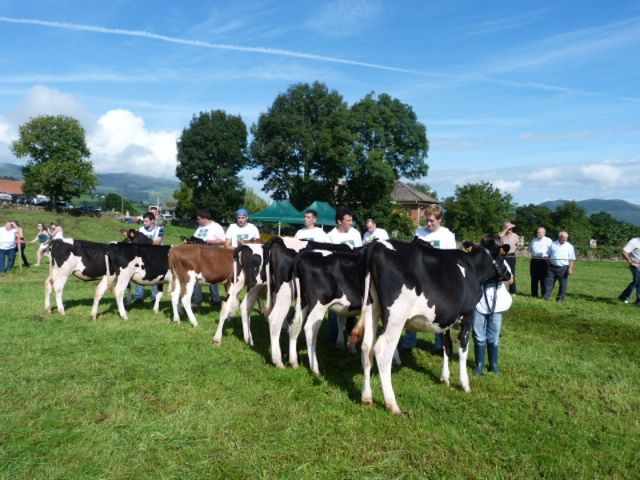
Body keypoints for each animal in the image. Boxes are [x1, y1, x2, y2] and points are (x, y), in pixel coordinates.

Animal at [350, 236, 510, 412]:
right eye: (503, 256)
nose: (509, 274)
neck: (472, 268)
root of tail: (376, 245)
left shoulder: (446, 319)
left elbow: (447, 346)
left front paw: (445, 378)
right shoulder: (468, 315)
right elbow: (463, 350)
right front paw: (465, 384)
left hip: (372, 309)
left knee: (367, 347)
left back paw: (366, 397)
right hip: (396, 317)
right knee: (382, 350)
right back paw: (393, 405)